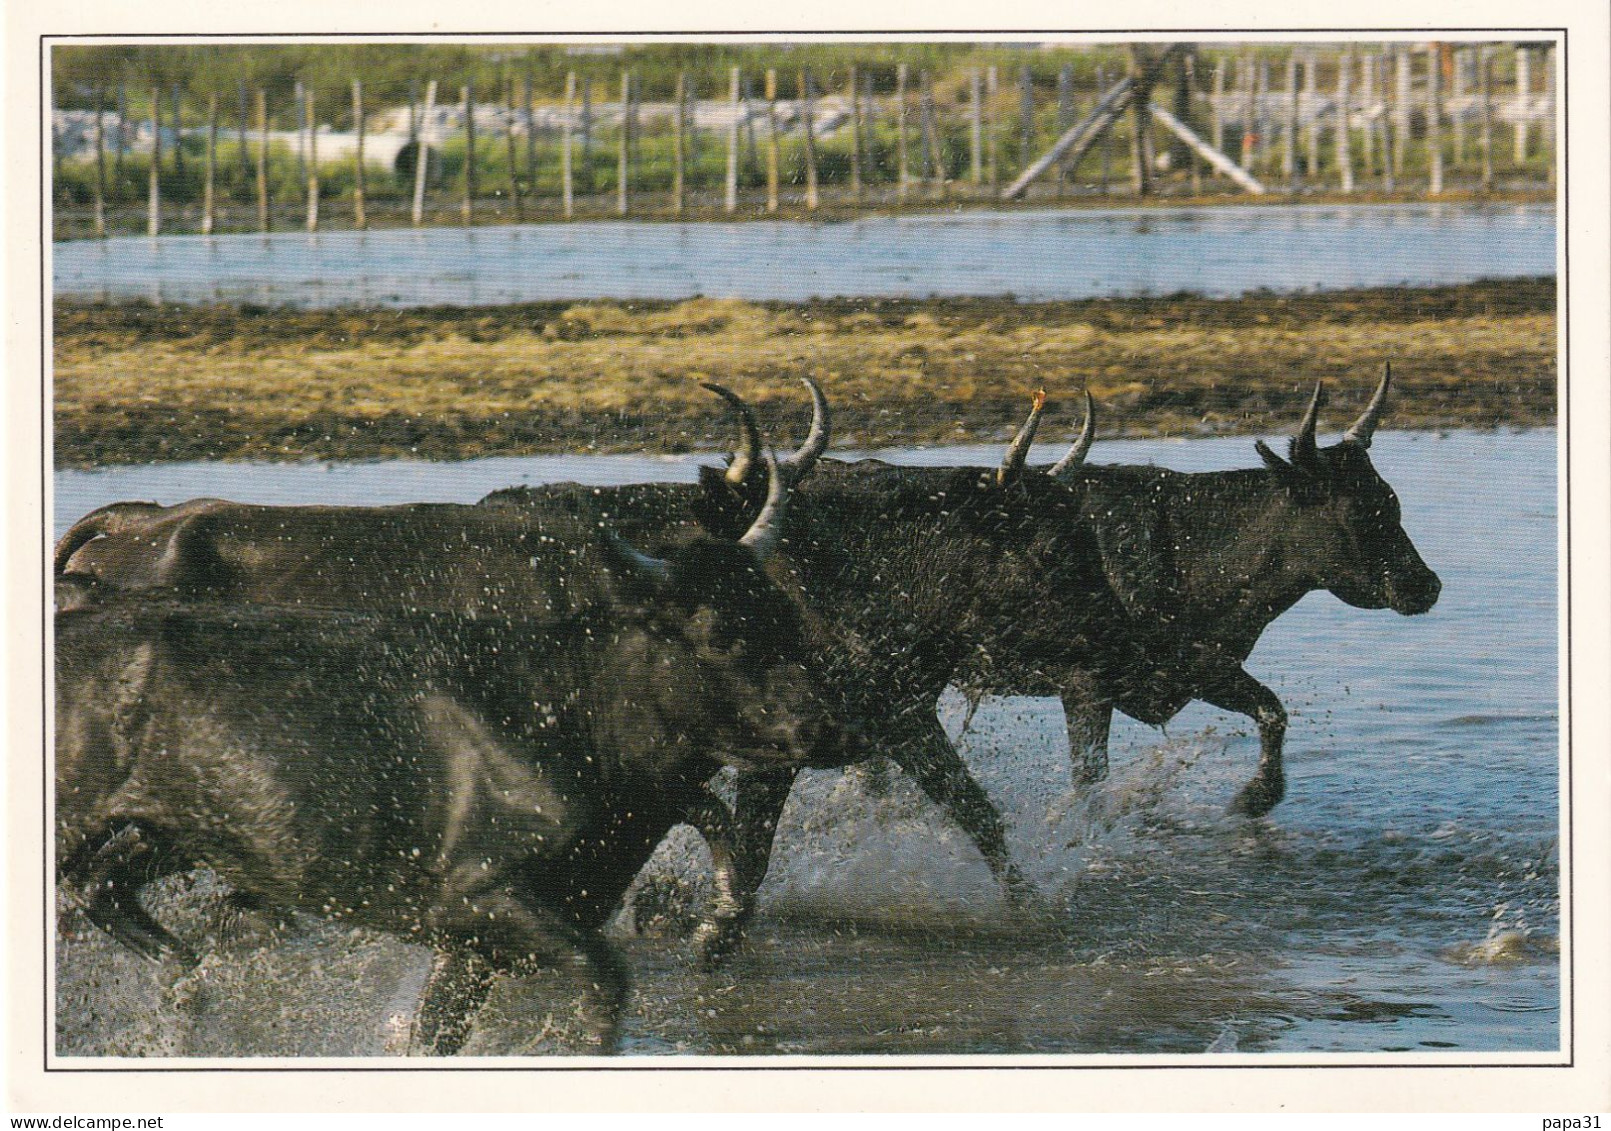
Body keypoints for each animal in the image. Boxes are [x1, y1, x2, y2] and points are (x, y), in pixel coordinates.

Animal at [50, 470, 863, 1056]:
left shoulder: (474, 941)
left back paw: (187, 992)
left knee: (105, 890)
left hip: (176, 831)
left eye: (781, 612)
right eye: (722, 633)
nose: (835, 724)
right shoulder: (478, 900)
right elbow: (604, 982)